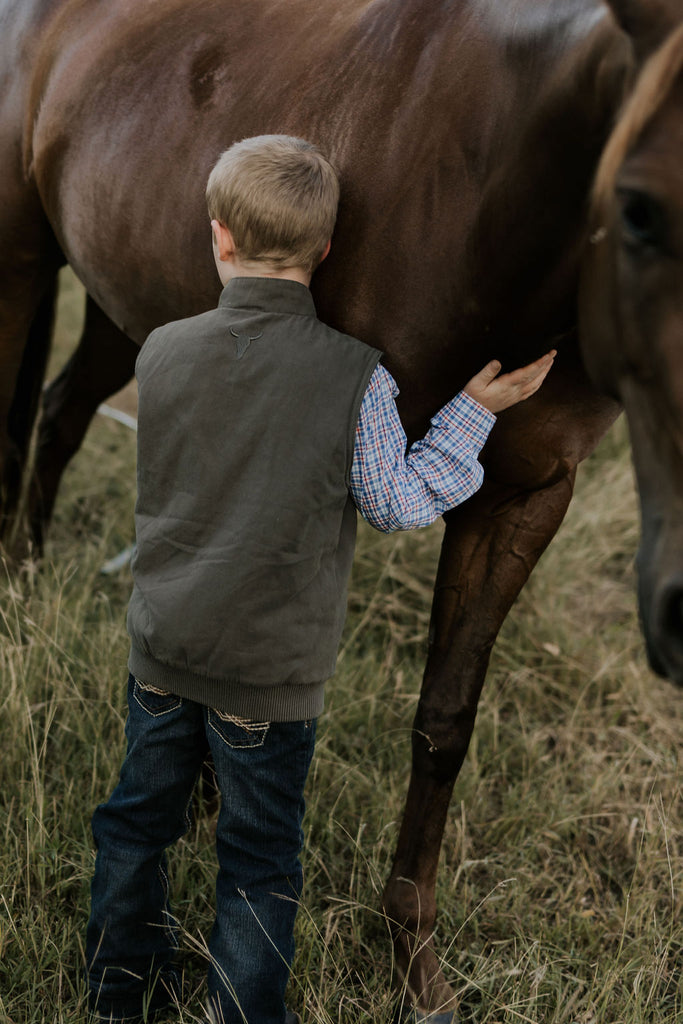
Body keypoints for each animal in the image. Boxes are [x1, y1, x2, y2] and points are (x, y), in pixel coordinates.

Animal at [1, 0, 683, 1019]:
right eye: (637, 209)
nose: (679, 611)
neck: (496, 188)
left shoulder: (525, 499)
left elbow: (444, 720)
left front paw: (414, 961)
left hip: (133, 305)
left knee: (59, 414)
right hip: (19, 263)